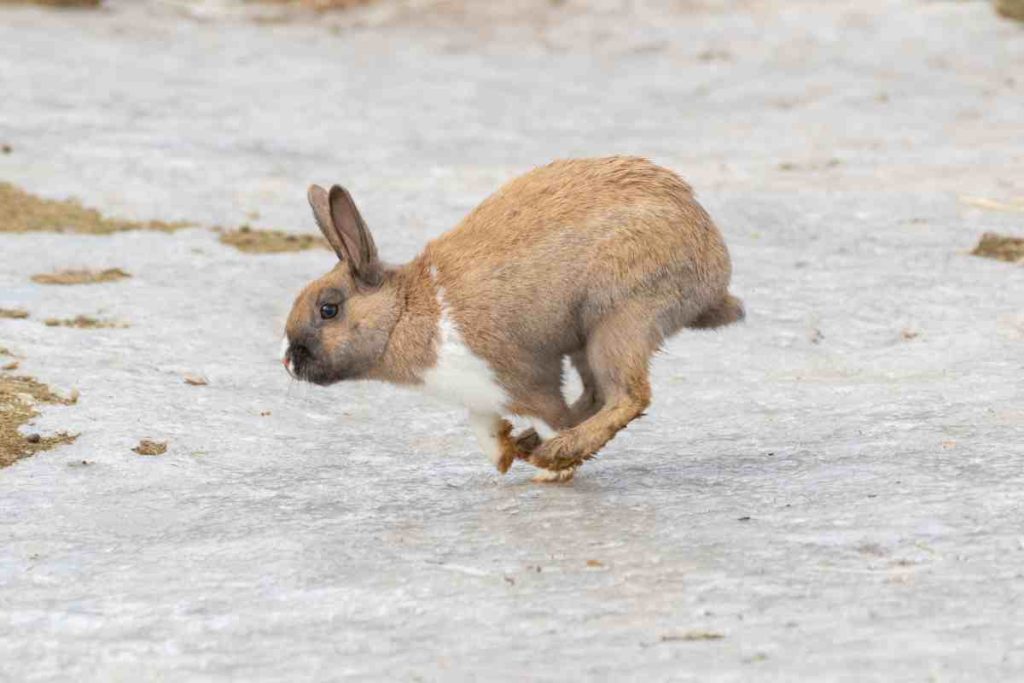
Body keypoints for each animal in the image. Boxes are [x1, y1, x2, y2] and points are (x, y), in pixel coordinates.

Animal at [283, 156, 744, 482]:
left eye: (328, 309)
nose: (289, 361)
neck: (408, 311)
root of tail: (715, 267)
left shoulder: (519, 376)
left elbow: (549, 412)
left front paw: (551, 470)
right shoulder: (482, 396)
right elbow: (485, 431)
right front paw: (508, 455)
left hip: (619, 319)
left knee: (628, 397)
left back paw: (553, 452)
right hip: (589, 340)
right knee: (598, 396)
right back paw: (533, 446)